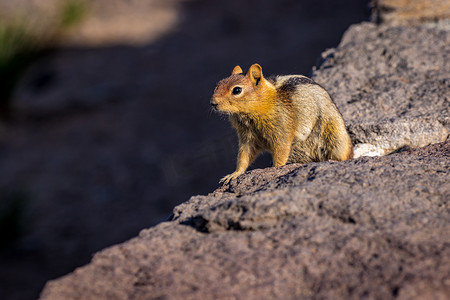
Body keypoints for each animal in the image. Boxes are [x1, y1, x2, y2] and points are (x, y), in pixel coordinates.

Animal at [213, 64, 354, 184]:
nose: (213, 103)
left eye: (237, 90)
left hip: (336, 139)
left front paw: (275, 170)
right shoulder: (247, 137)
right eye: (217, 85)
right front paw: (234, 174)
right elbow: (244, 156)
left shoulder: (282, 131)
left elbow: (281, 152)